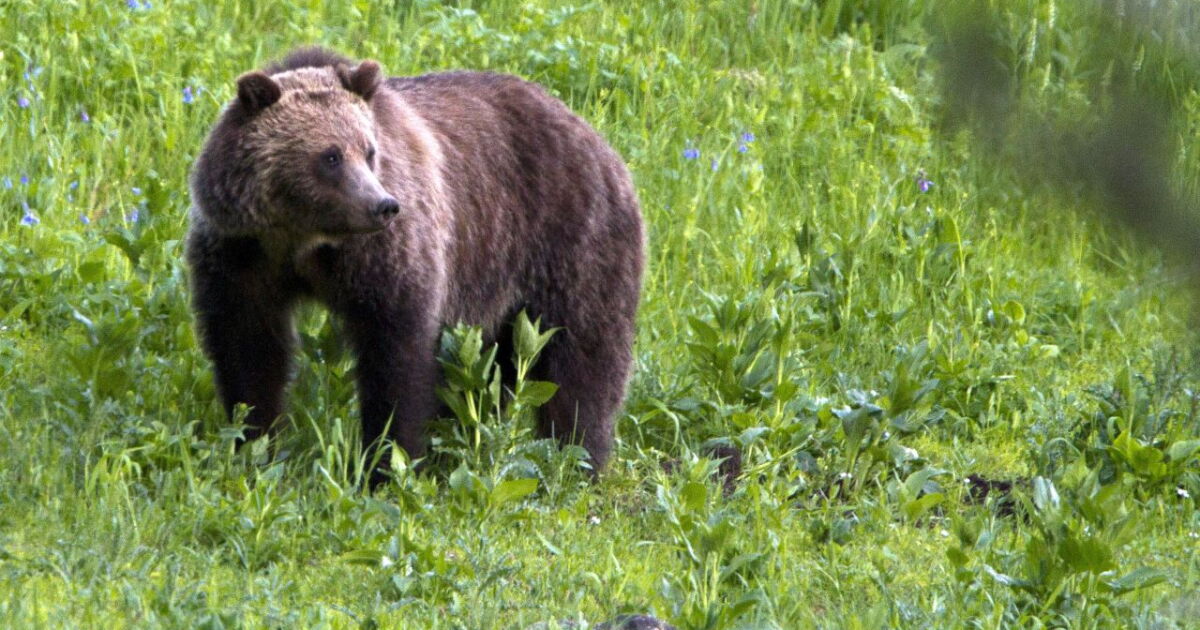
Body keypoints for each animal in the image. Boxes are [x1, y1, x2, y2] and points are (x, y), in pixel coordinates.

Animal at [186, 47, 644, 481]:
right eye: (330, 156)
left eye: (369, 151)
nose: (383, 205)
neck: (304, 240)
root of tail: (594, 135)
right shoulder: (242, 255)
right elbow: (249, 347)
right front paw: (254, 442)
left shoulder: (384, 257)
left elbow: (396, 354)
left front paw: (387, 462)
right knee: (492, 368)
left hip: (569, 240)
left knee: (583, 356)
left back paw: (578, 457)